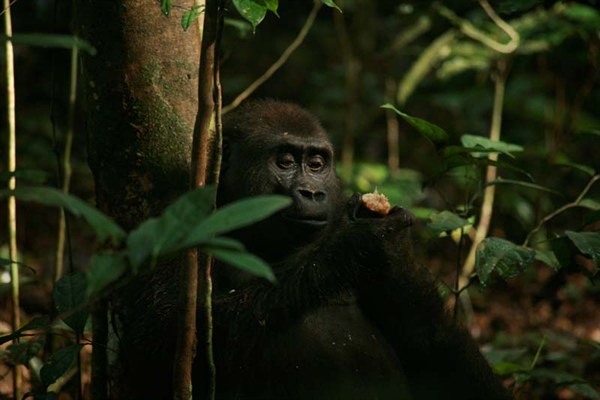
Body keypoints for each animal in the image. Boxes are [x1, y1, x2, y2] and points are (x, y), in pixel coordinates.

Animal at [117, 100, 510, 400]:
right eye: (286, 162)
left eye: (317, 165)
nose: (312, 192)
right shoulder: (174, 211)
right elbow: (161, 335)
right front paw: (353, 249)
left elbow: (429, 336)